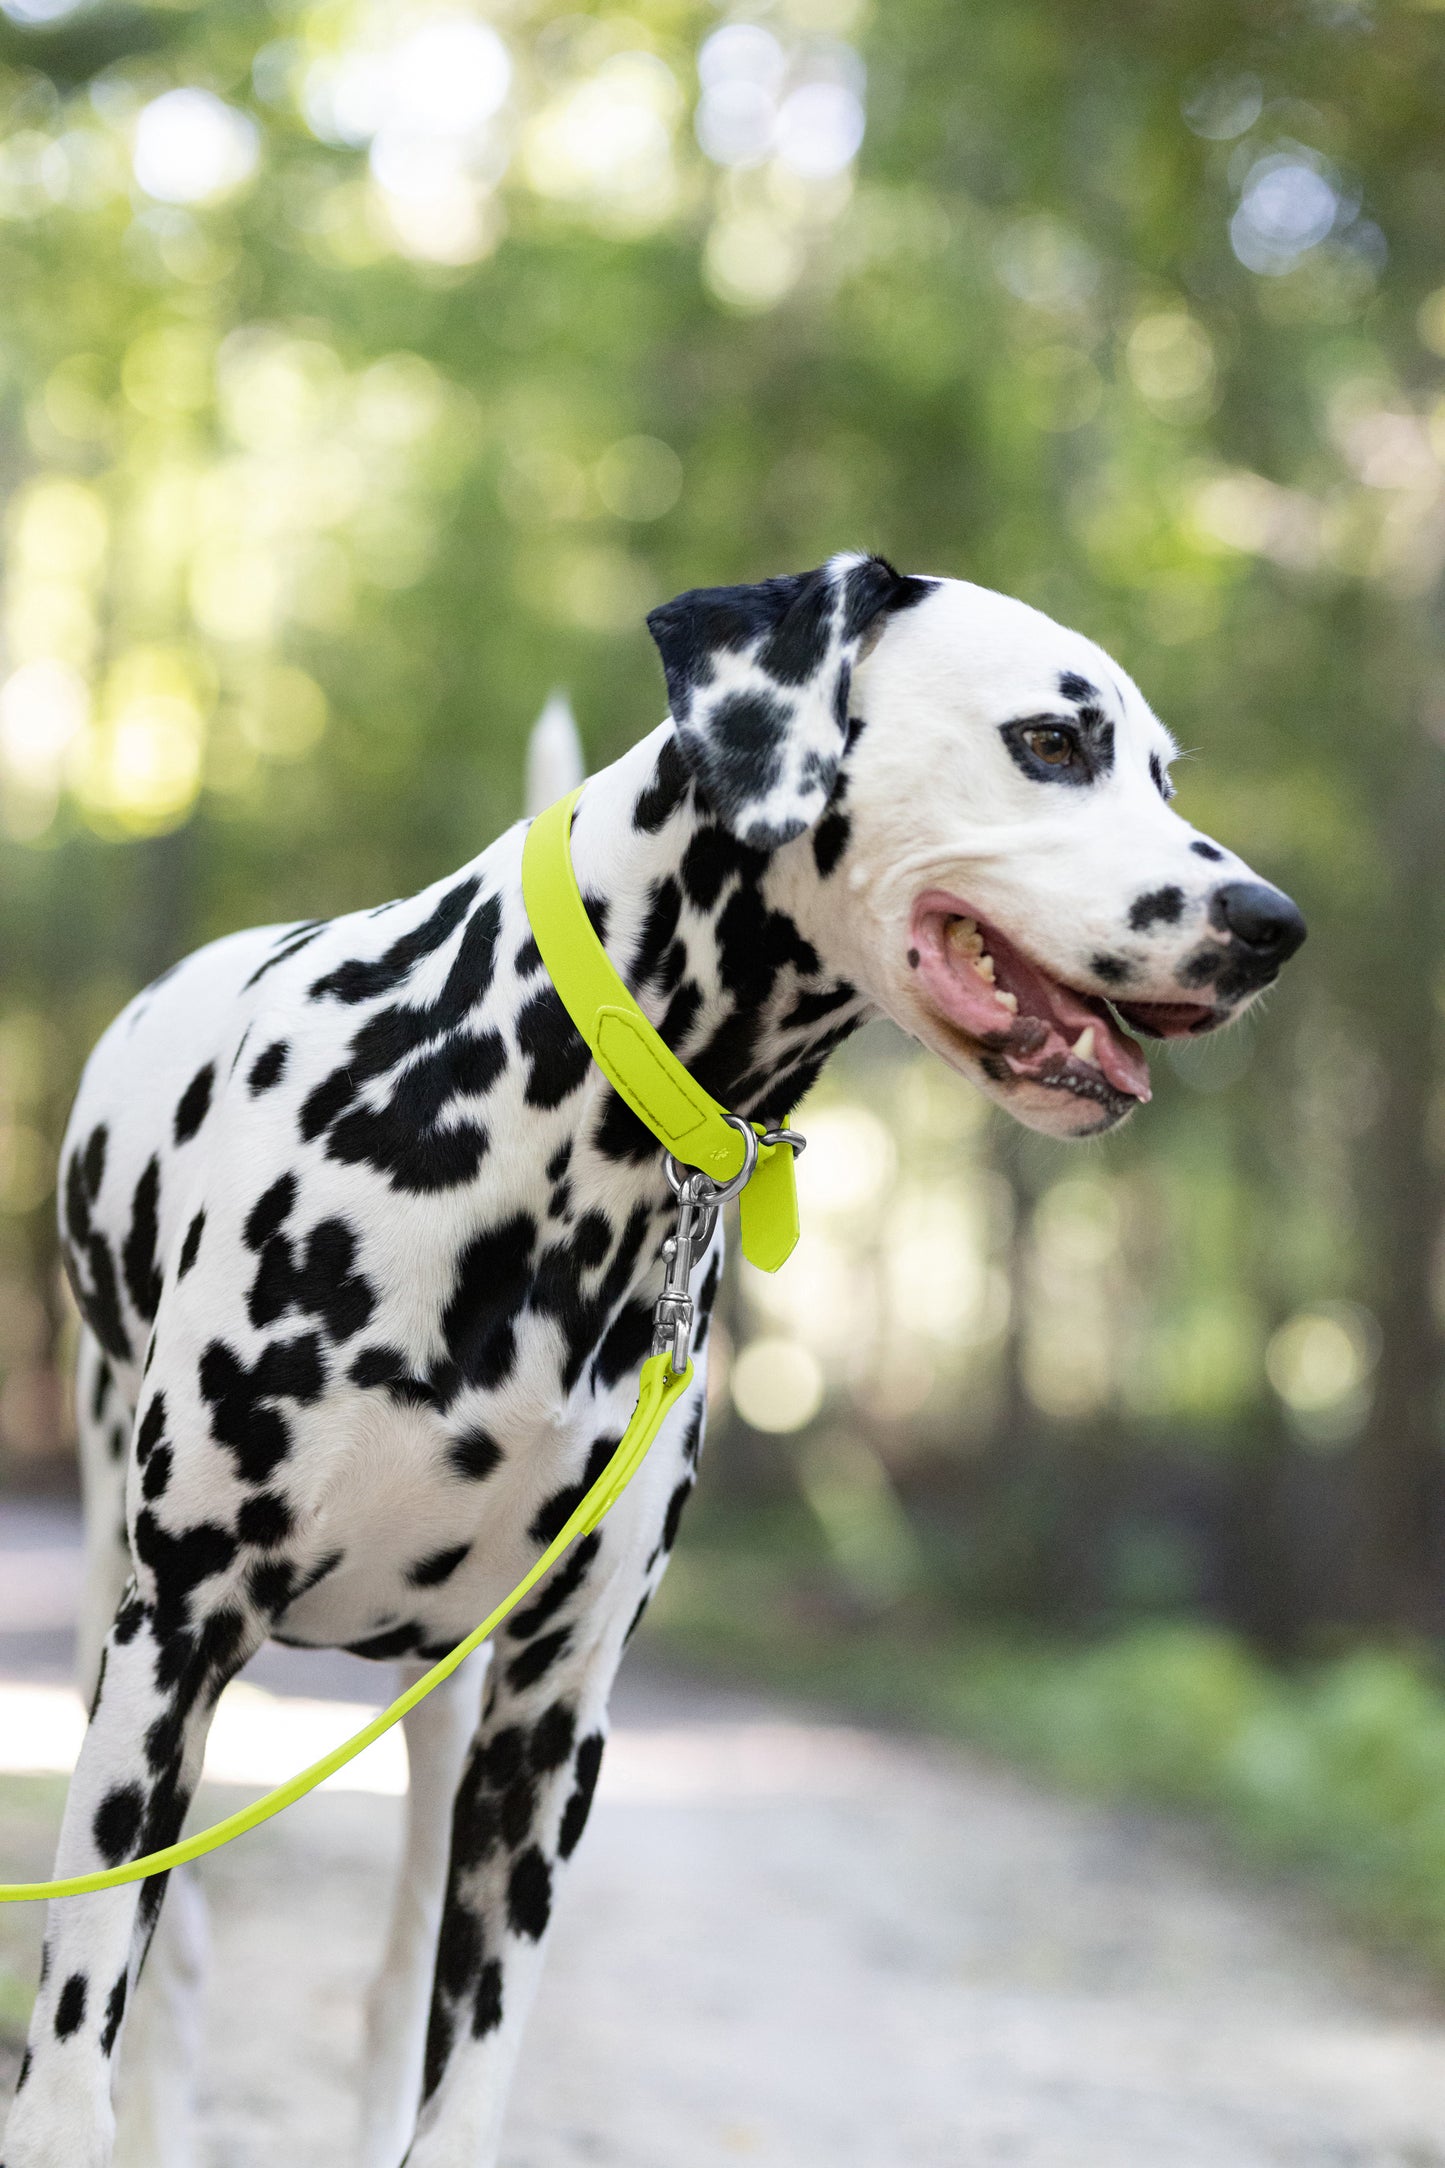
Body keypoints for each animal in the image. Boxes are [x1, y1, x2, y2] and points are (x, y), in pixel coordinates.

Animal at [2, 555, 1308, 2168]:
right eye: (1053, 743)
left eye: (1162, 770)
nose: (1271, 923)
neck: (539, 1133)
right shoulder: (178, 1643)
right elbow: (75, 2053)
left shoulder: (551, 1720)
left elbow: (463, 2083)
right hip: (123, 1632)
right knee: (169, 1987)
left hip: (445, 1712)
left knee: (386, 2000)